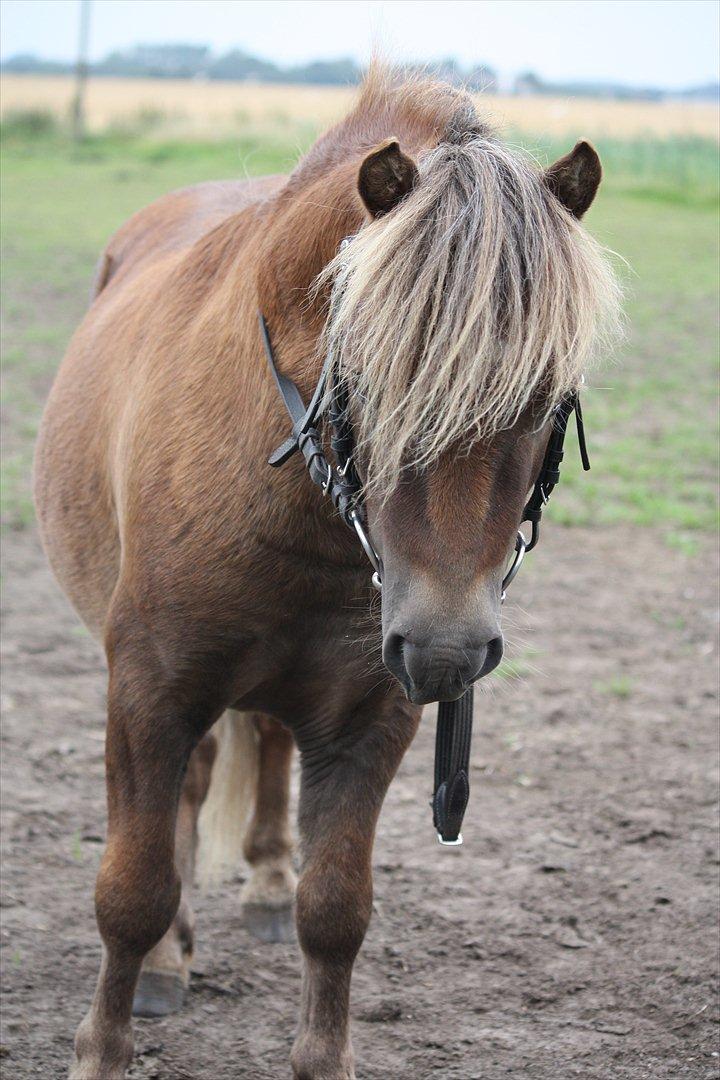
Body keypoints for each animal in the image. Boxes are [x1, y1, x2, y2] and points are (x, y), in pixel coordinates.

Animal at [33, 67, 621, 1080]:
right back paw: (168, 963)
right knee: (191, 796)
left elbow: (337, 910)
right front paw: (105, 1046)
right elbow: (132, 888)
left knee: (267, 750)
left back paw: (266, 885)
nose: (448, 648)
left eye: (548, 397)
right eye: (369, 379)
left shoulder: (371, 713)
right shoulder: (150, 691)